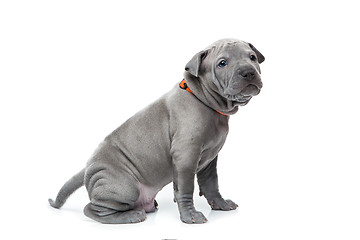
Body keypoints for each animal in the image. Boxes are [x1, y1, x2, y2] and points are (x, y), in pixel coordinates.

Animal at [48, 38, 264, 224]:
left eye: (252, 57)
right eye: (222, 63)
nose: (248, 72)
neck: (205, 99)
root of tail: (88, 167)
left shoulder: (209, 159)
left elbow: (211, 184)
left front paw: (220, 204)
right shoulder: (186, 156)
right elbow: (186, 188)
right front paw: (190, 216)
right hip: (124, 187)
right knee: (92, 209)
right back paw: (131, 216)